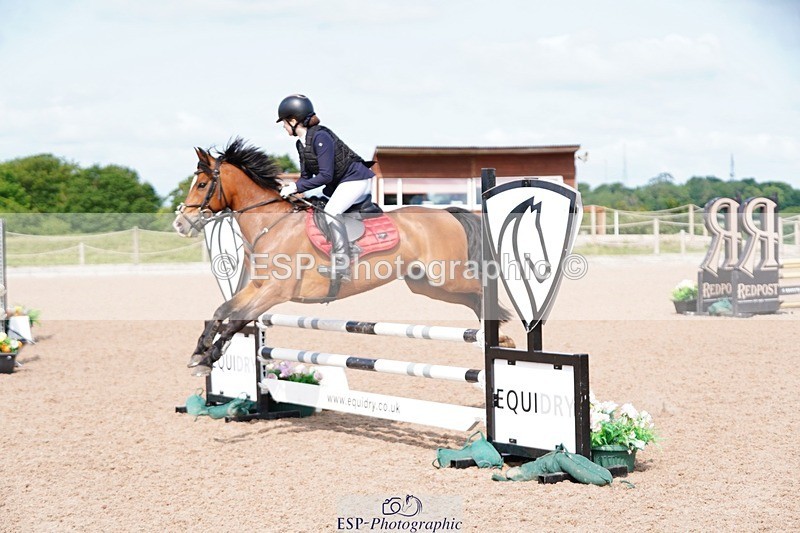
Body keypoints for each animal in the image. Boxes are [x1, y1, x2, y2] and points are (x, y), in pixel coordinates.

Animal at [172, 138, 512, 375]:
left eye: (202, 184)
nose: (180, 223)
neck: (273, 224)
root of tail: (447, 213)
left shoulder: (275, 292)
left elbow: (237, 319)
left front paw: (207, 359)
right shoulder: (257, 288)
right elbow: (222, 310)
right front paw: (199, 353)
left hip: (446, 276)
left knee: (480, 289)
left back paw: (498, 335)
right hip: (427, 284)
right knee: (472, 297)